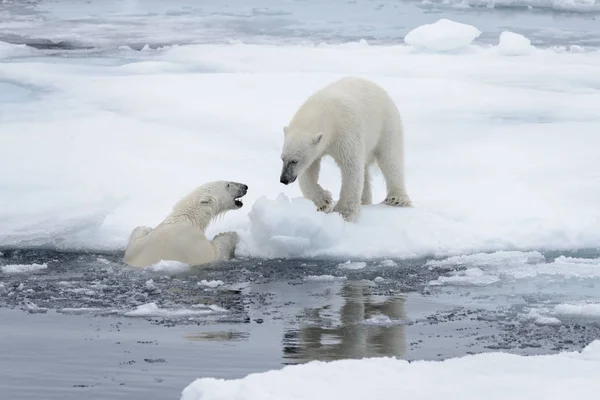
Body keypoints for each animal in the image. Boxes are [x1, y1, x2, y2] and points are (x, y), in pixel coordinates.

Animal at [280, 76, 412, 223]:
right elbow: (309, 170)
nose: (284, 179)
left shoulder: (346, 131)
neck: (326, 112)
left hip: (386, 125)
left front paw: (344, 213)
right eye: (282, 159)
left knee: (390, 159)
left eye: (295, 161)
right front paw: (323, 202)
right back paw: (365, 201)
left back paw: (397, 199)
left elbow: (351, 167)